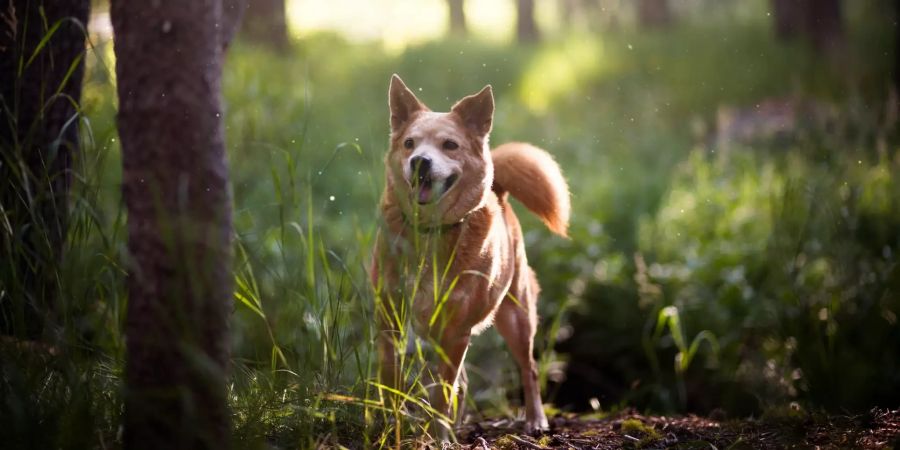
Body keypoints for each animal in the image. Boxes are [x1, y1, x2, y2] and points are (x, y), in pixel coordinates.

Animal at [370, 74, 568, 436]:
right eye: (409, 143)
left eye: (450, 145)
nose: (420, 161)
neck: (431, 232)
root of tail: (498, 191)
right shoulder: (390, 319)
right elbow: (391, 380)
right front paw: (391, 426)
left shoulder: (455, 330)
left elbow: (443, 392)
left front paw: (438, 435)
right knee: (462, 381)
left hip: (516, 317)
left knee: (529, 369)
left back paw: (535, 420)